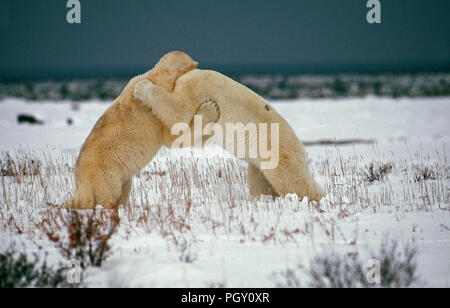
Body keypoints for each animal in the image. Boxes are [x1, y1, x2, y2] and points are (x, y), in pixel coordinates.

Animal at [64, 51, 220, 209]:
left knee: (125, 187)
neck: (157, 75)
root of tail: (79, 180)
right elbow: (174, 135)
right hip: (105, 173)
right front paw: (210, 108)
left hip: (119, 177)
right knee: (107, 195)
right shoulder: (156, 114)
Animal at [132, 68, 326, 201]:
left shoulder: (195, 86)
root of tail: (299, 147)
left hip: (277, 153)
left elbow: (178, 111)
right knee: (258, 177)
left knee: (291, 180)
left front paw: (141, 87)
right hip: (261, 160)